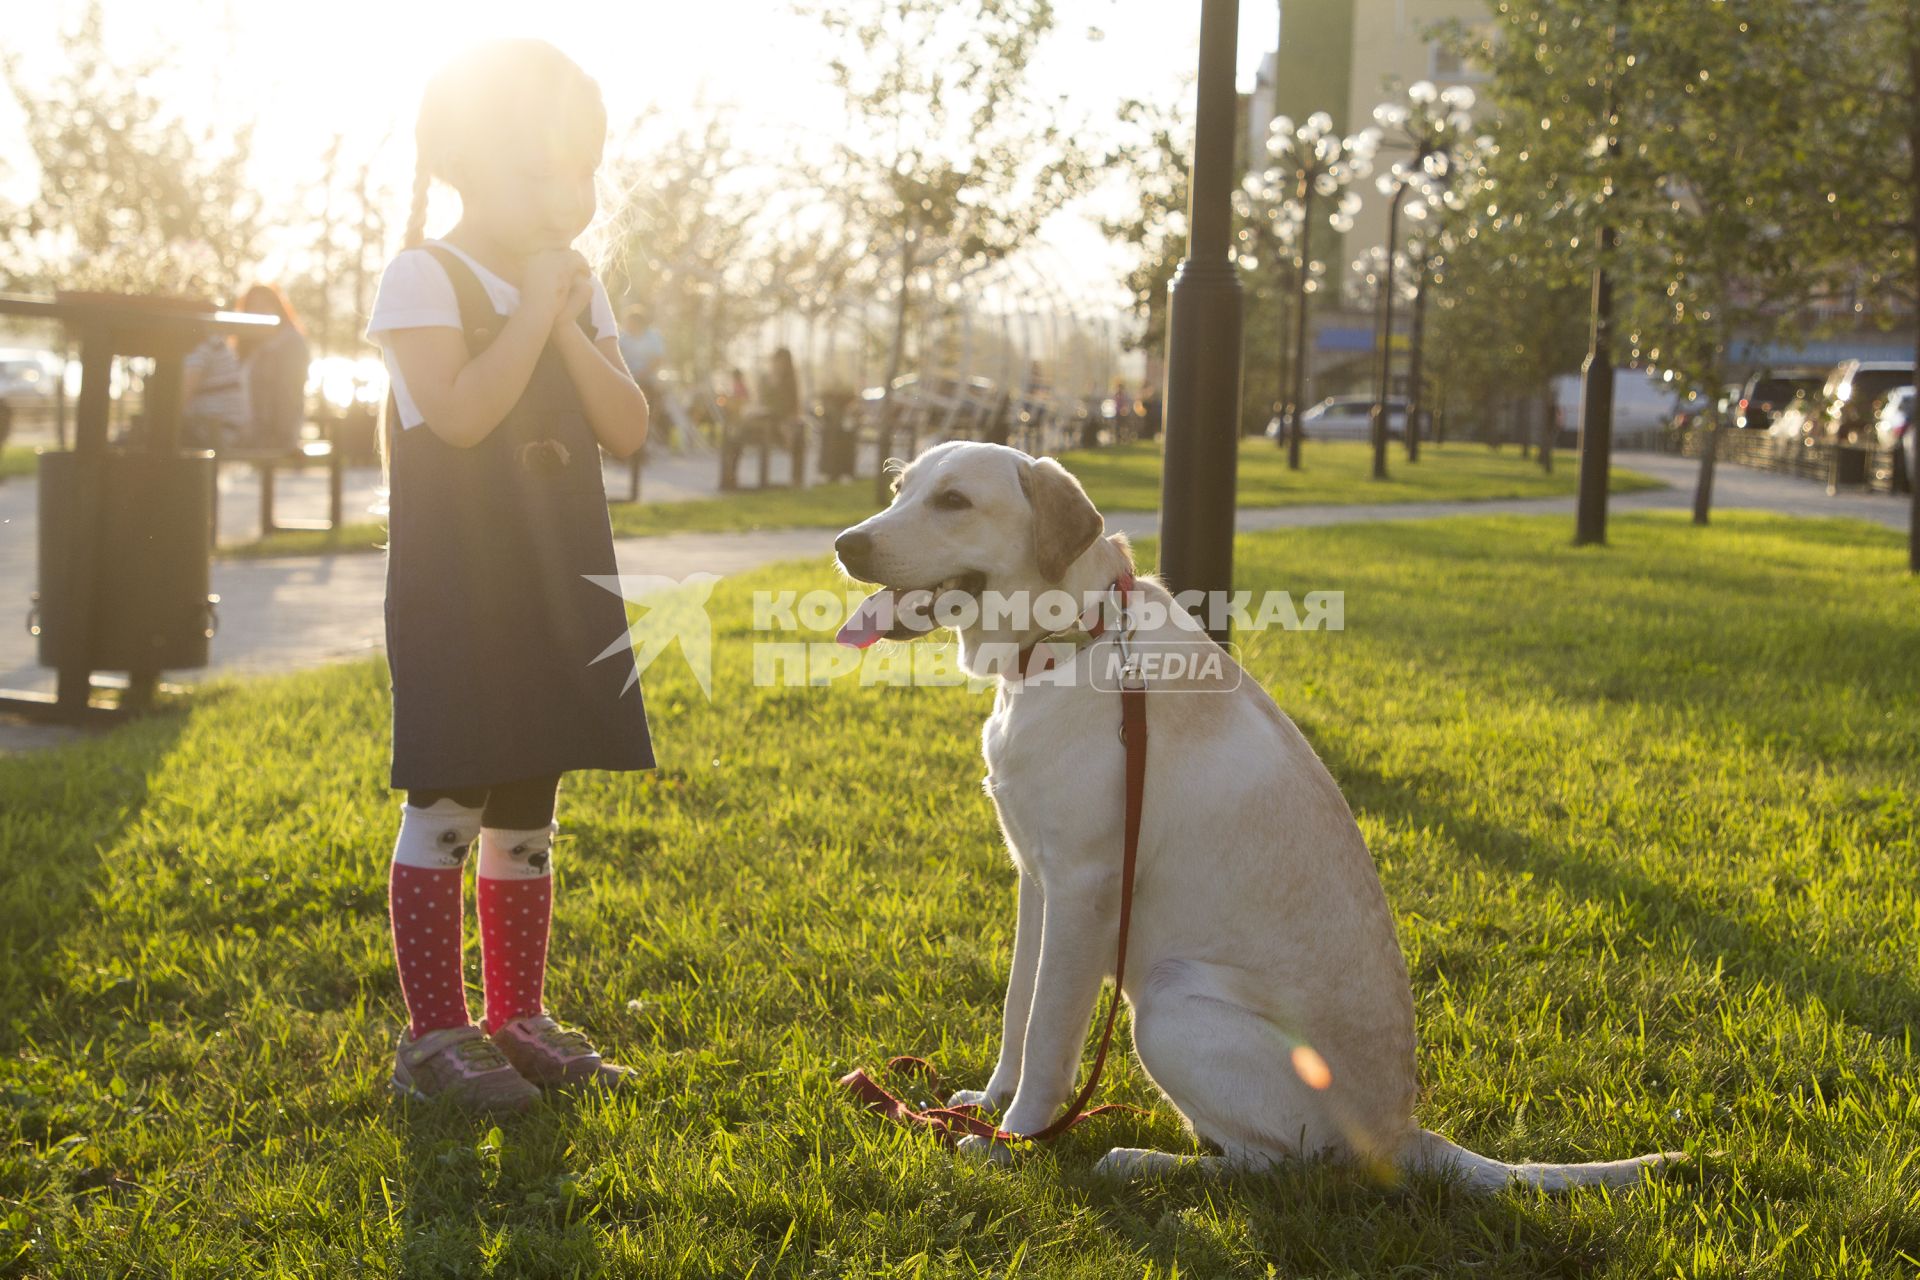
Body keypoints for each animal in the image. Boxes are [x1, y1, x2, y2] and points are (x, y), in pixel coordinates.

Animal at [833, 443, 1674, 1189]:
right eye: (901, 488)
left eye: (954, 501)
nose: (846, 542)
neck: (1074, 640)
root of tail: (1402, 1134)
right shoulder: (1037, 881)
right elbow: (1017, 1009)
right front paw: (989, 1102)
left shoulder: (1084, 891)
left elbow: (1049, 1036)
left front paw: (1015, 1140)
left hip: (1169, 1003)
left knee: (1281, 1166)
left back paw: (1144, 1163)